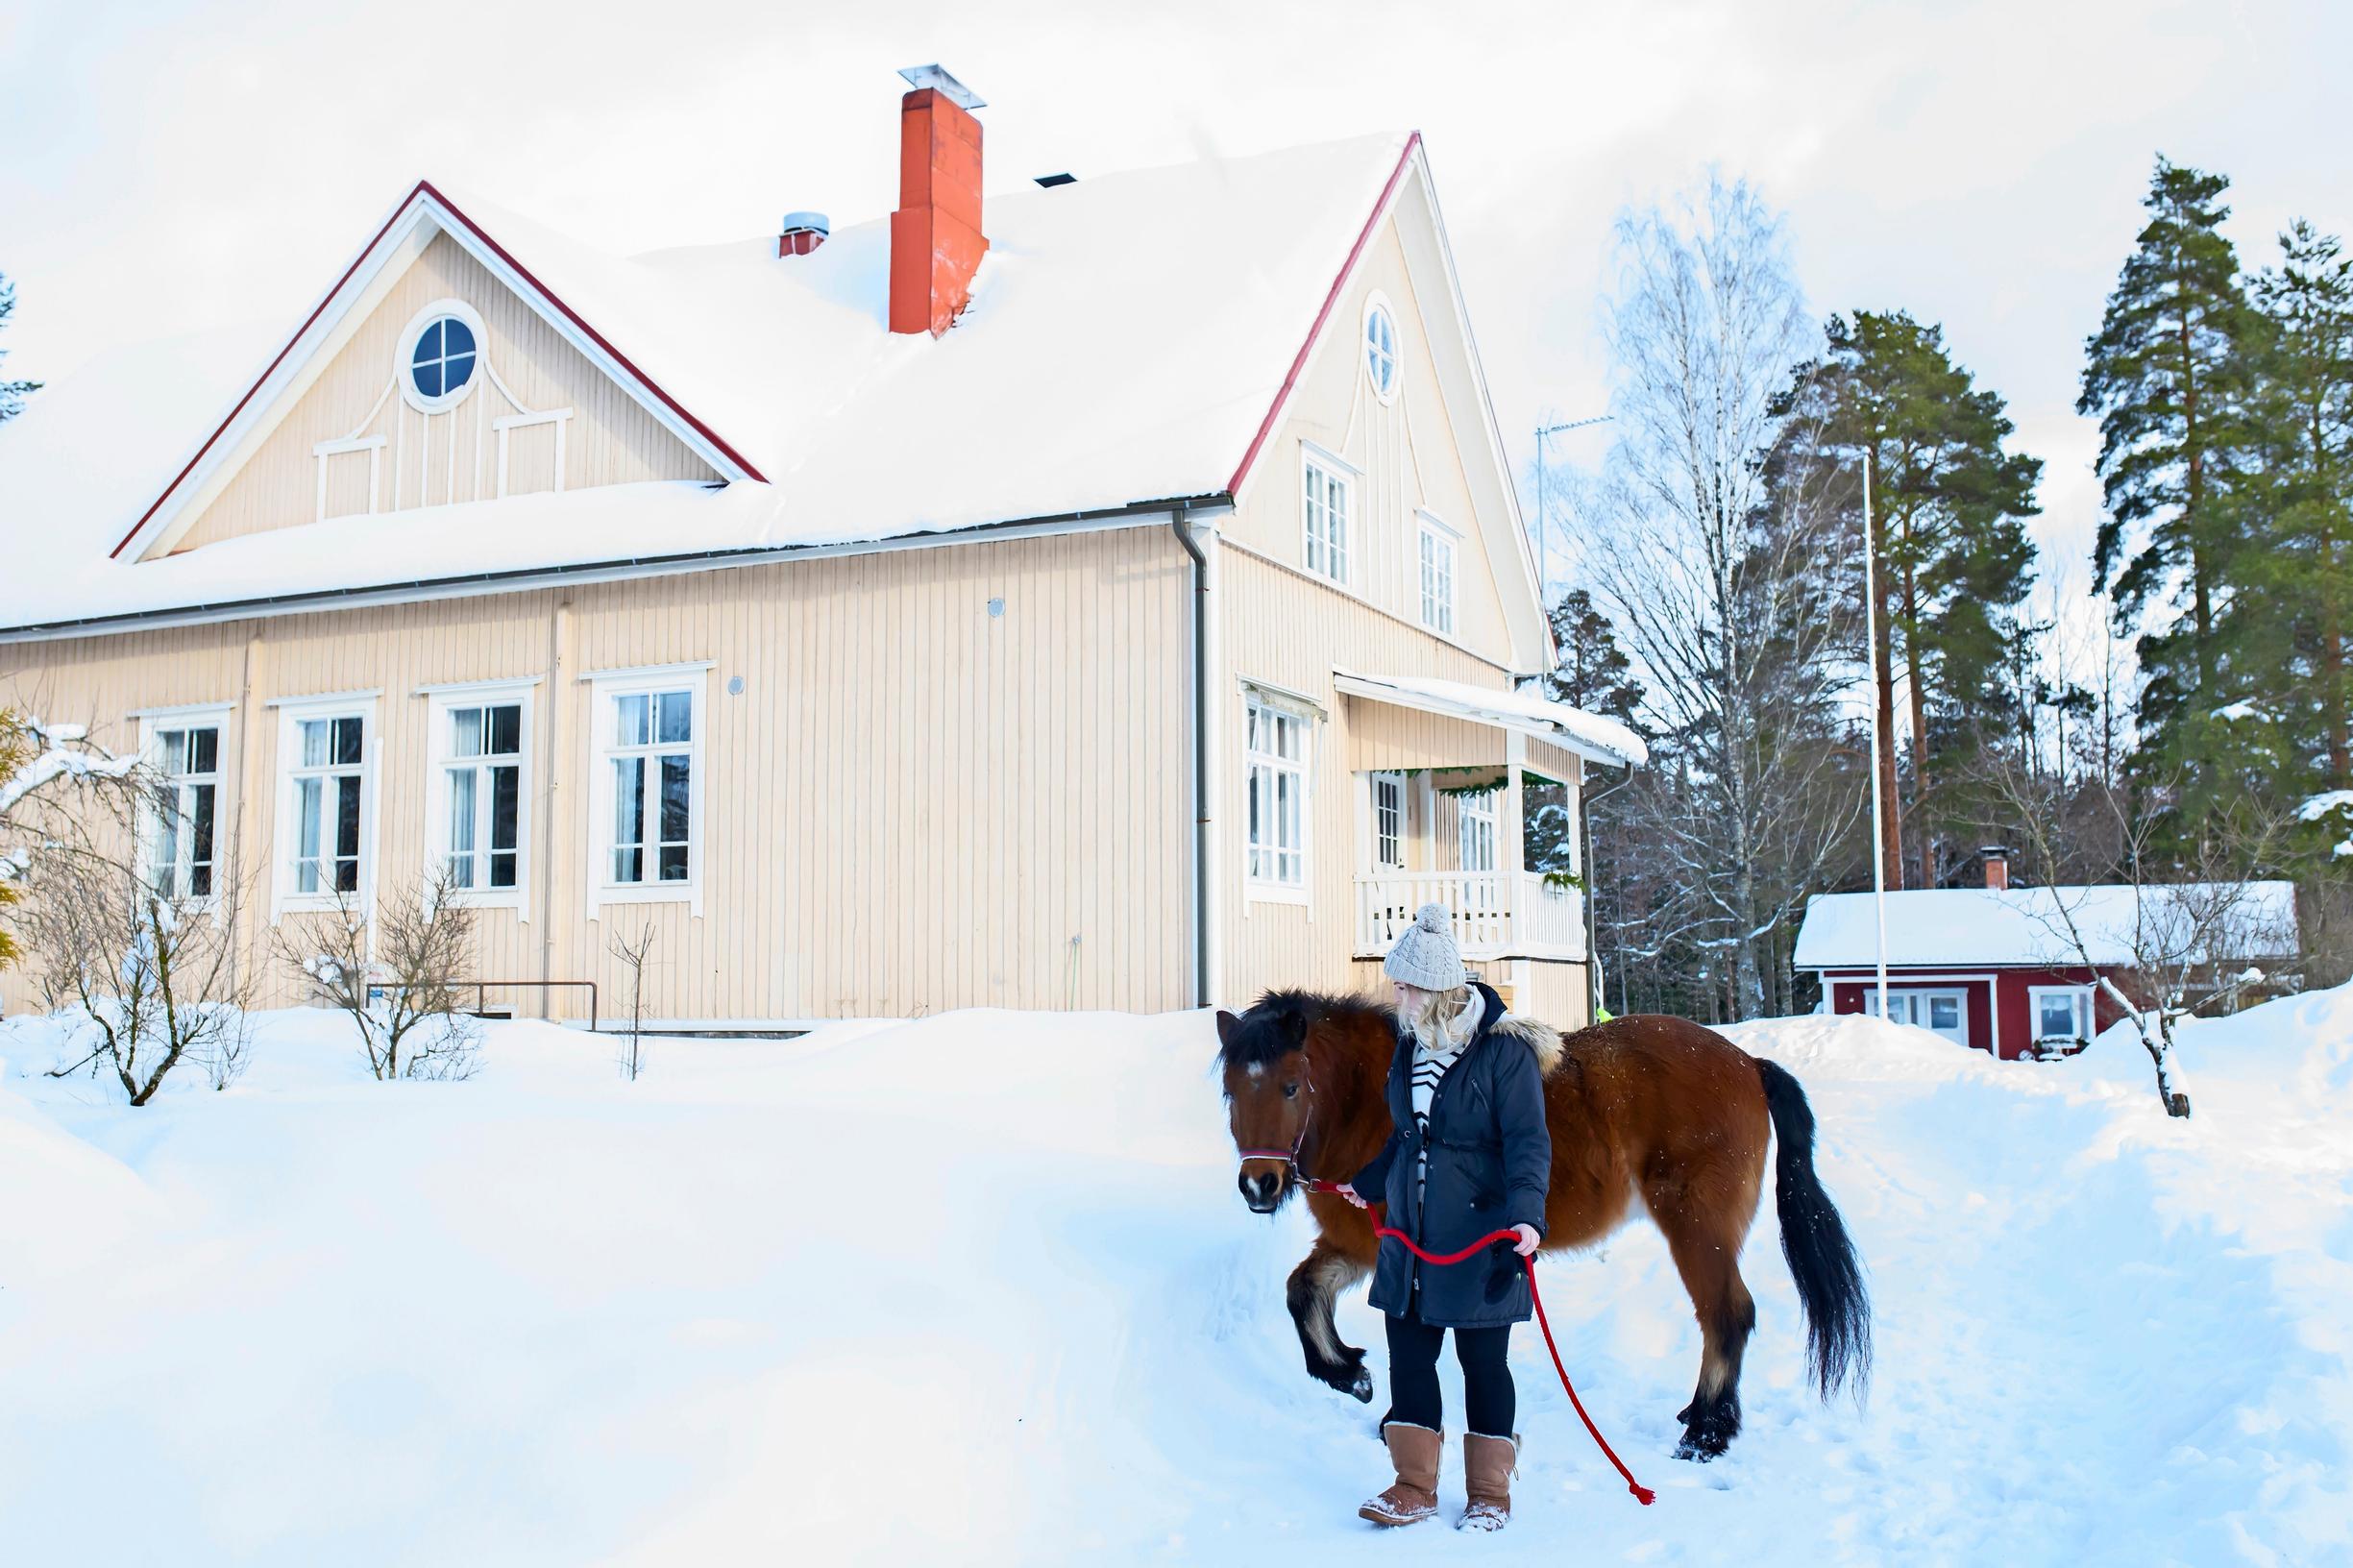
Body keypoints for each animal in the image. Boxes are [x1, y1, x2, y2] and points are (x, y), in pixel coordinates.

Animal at [1215, 989, 1870, 1460]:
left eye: (1291, 1086)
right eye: (1230, 1093)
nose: (1258, 1185)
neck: (1369, 1106)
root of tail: (1747, 1065)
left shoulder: (1396, 1255)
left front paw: (1386, 1408)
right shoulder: (1359, 1246)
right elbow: (1303, 1291)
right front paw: (1348, 1371)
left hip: (1696, 1226)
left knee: (1727, 1313)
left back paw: (1707, 1432)